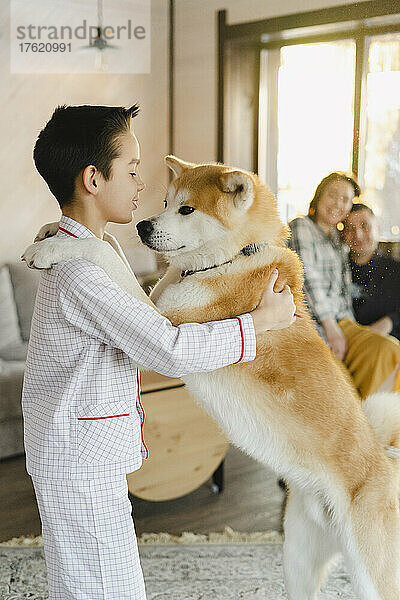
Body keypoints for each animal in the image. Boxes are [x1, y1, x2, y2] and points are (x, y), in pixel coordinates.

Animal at [22, 156, 400, 600]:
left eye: (186, 209)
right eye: (165, 202)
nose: (142, 226)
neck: (235, 258)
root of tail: (384, 459)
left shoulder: (167, 322)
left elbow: (101, 248)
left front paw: (52, 248)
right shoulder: (157, 299)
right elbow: (112, 248)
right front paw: (50, 230)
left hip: (371, 573)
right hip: (298, 559)